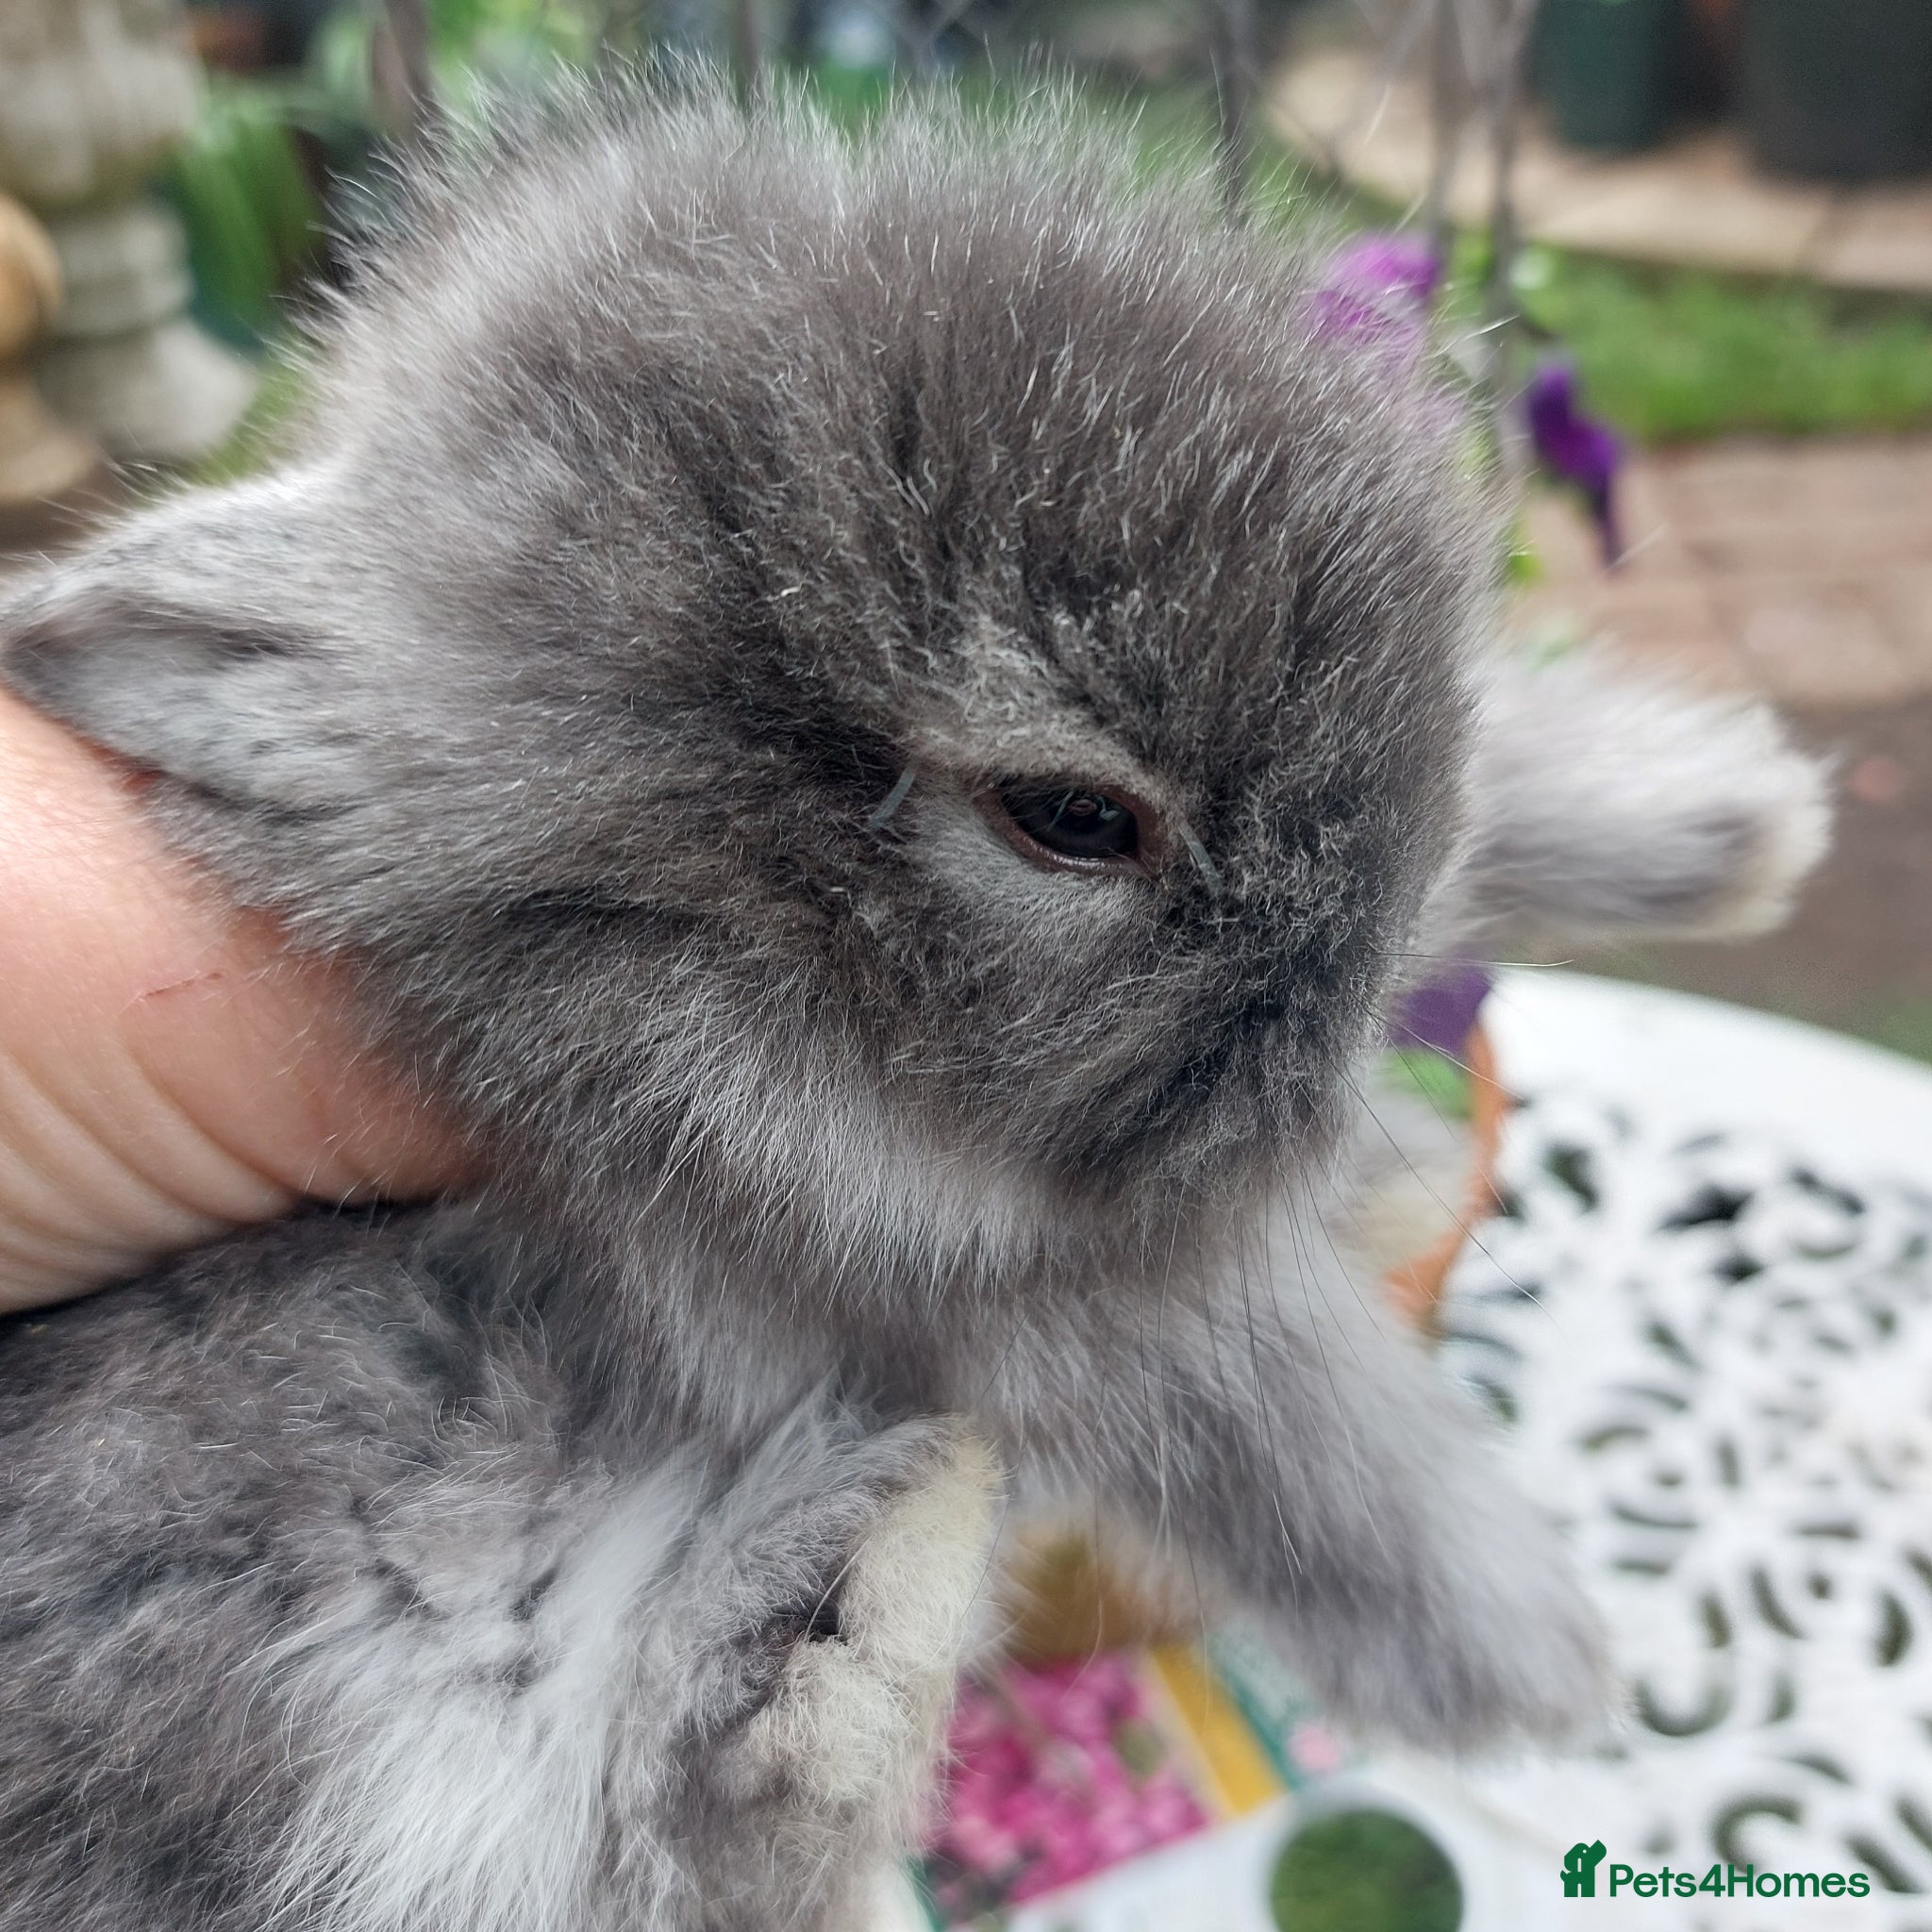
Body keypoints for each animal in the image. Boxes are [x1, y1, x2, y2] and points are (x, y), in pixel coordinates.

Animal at [0, 80, 1827, 1931]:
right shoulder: (987, 1288)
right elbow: (1292, 1412)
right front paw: (1530, 1652)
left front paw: (1731, 825)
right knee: (679, 1805)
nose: (1329, 1069)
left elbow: (1502, 810)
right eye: (1071, 815)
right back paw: (863, 1578)